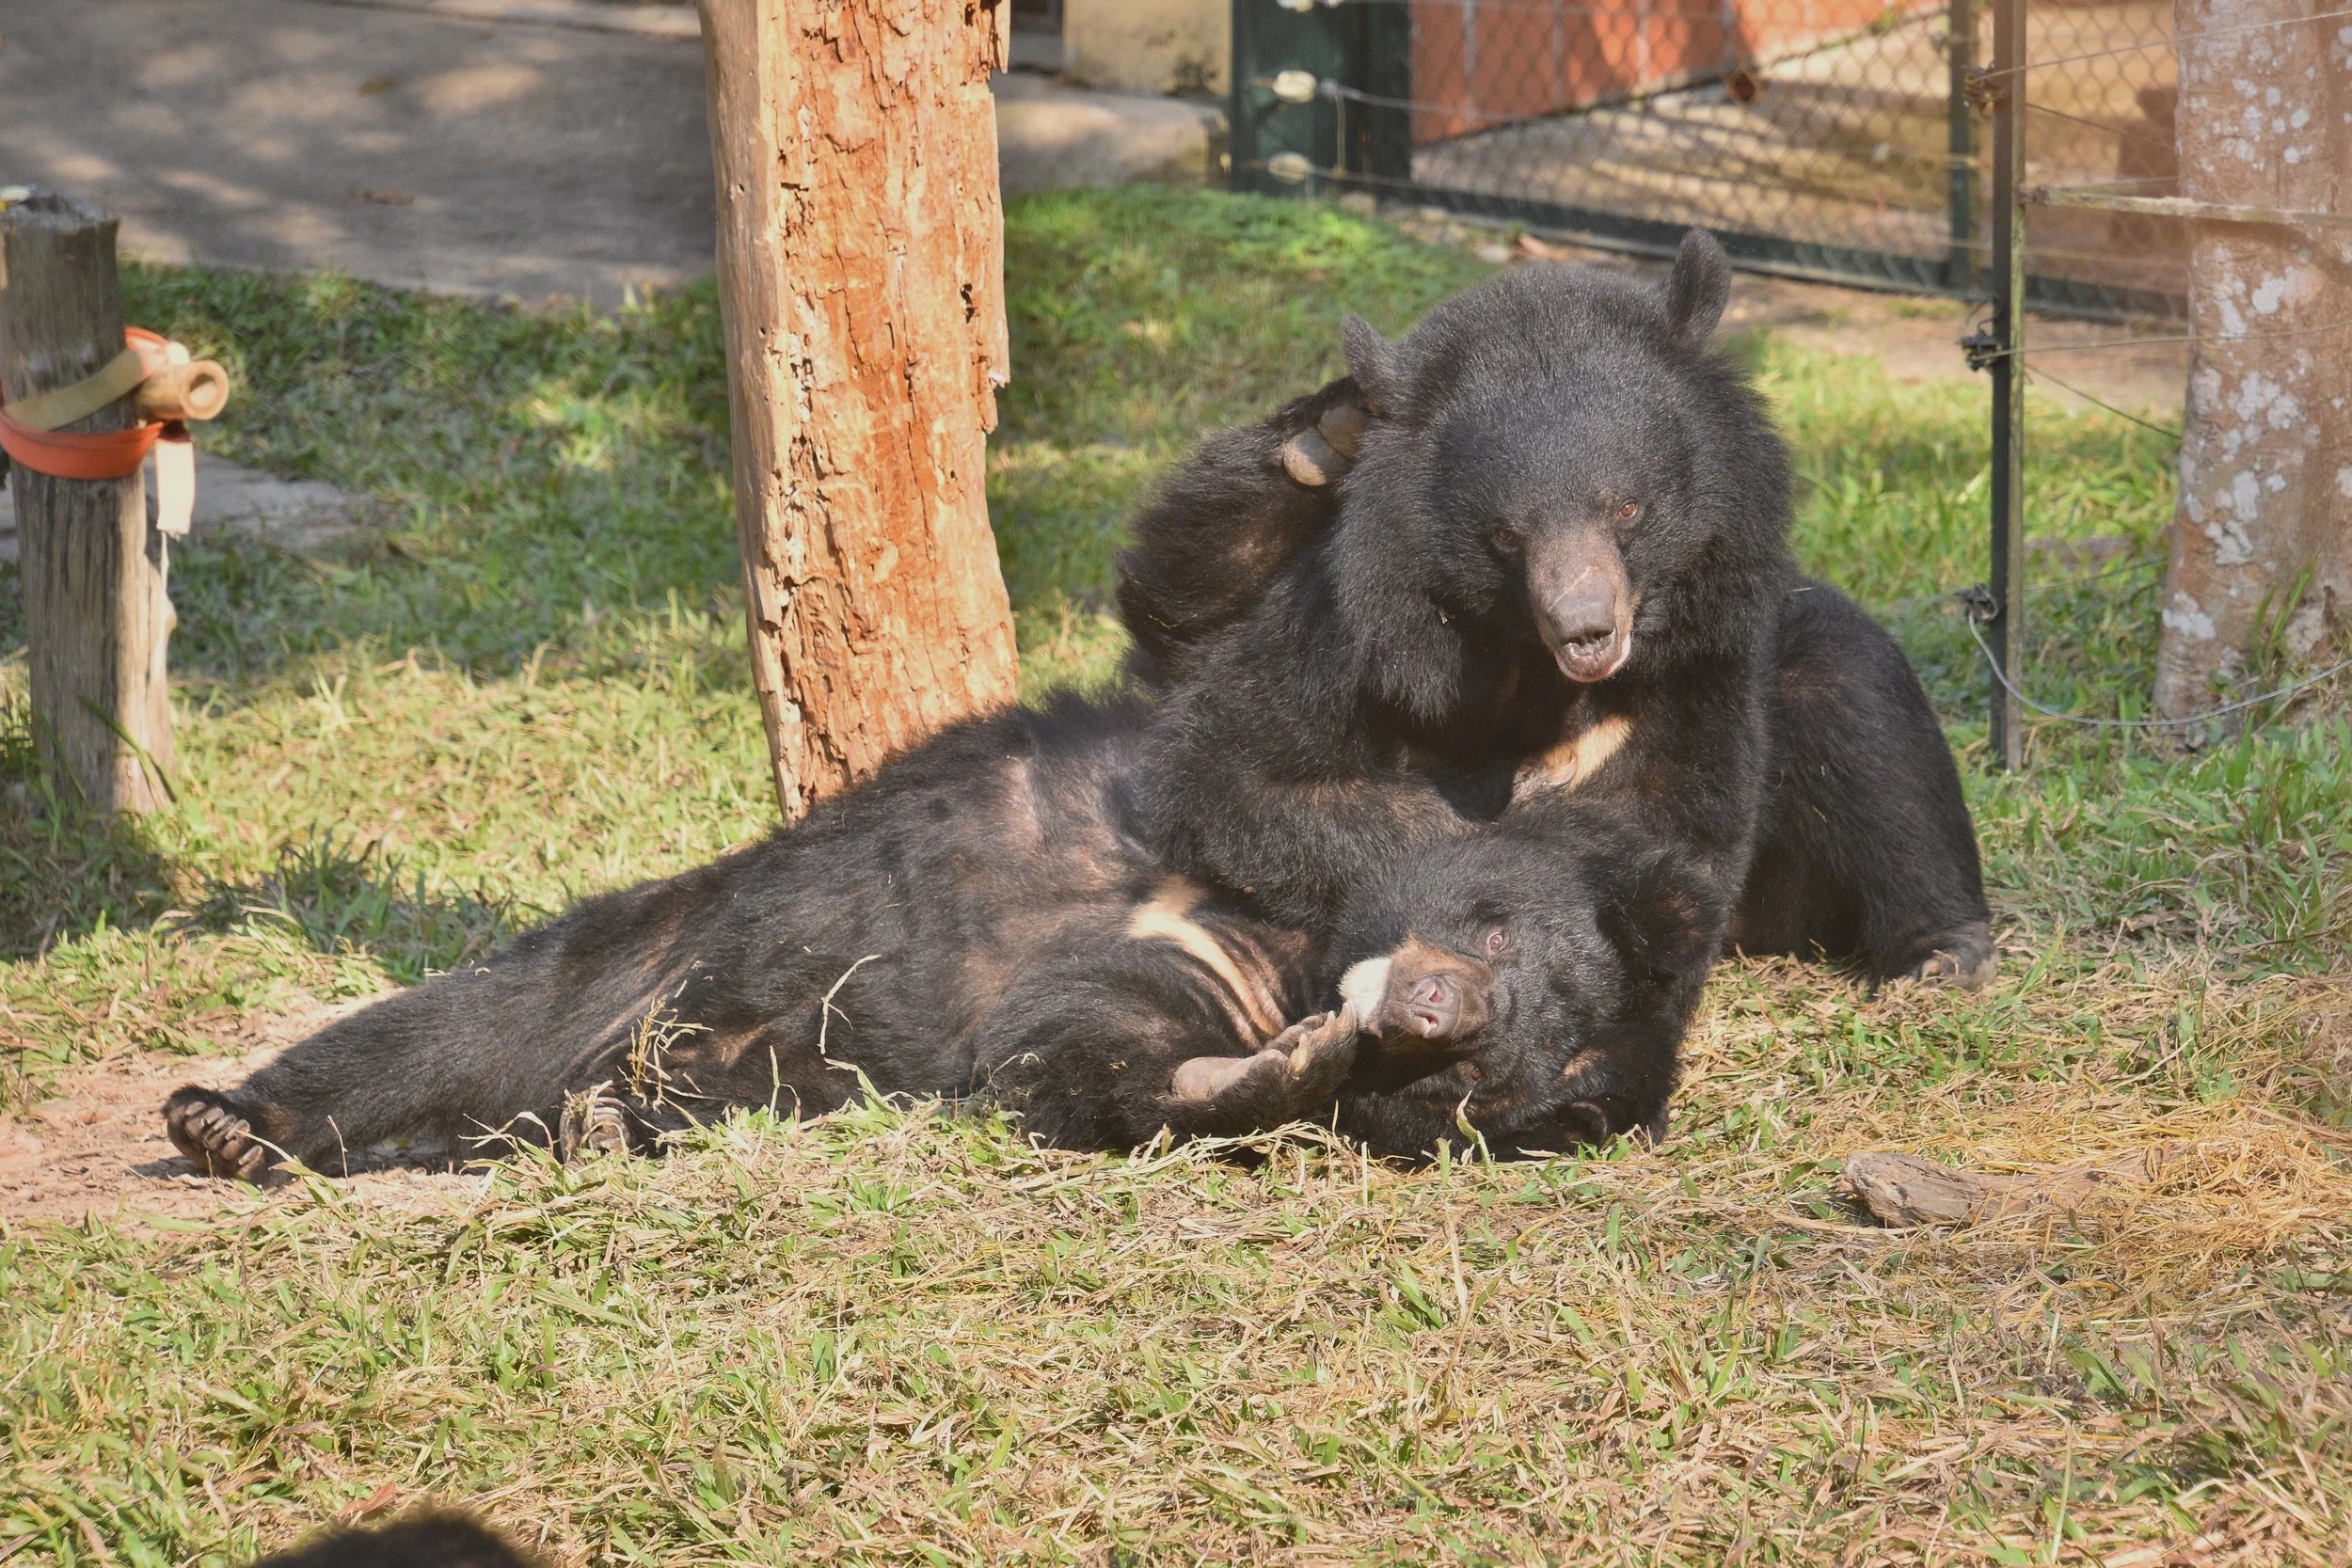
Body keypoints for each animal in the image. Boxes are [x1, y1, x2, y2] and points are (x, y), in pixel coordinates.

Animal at [1117, 230, 1994, 990]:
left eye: (1628, 507)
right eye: (1507, 535)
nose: (1587, 631)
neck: (1525, 668)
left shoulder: (1711, 644)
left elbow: (1682, 821)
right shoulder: (1355, 641)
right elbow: (1234, 776)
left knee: (1861, 703)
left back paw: (1940, 954)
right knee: (1186, 577)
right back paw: (1323, 440)